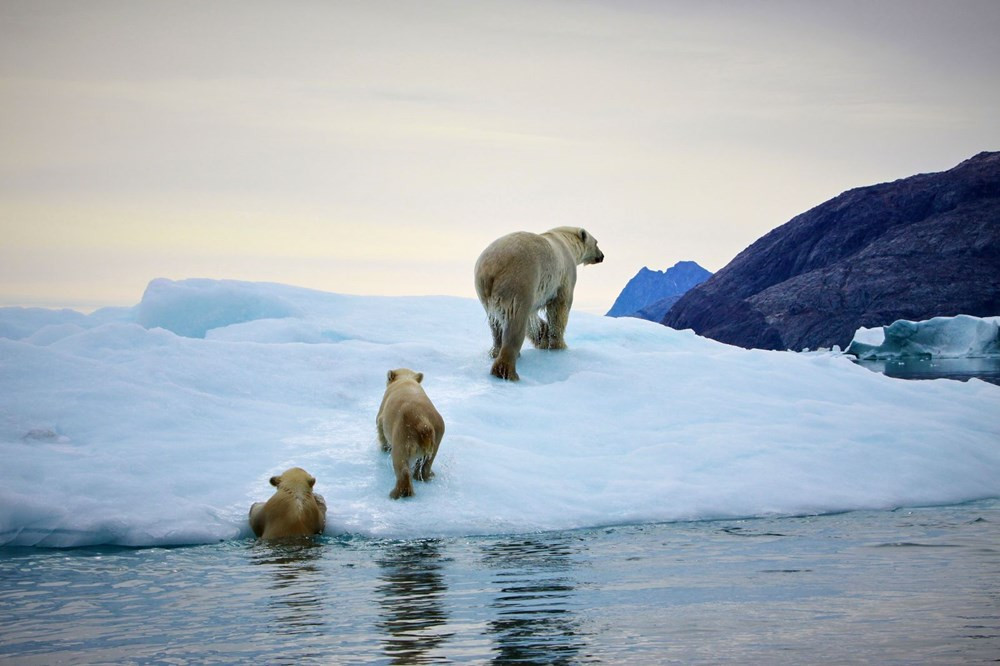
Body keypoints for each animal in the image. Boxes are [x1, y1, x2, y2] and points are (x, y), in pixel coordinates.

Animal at [474, 226, 604, 378]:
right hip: (519, 281)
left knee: (496, 323)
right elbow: (559, 309)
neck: (566, 241)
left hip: (484, 292)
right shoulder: (564, 276)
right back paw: (507, 370)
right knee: (515, 322)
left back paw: (495, 352)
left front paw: (543, 336)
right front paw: (558, 346)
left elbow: (533, 319)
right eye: (596, 242)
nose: (602, 256)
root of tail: (491, 268)